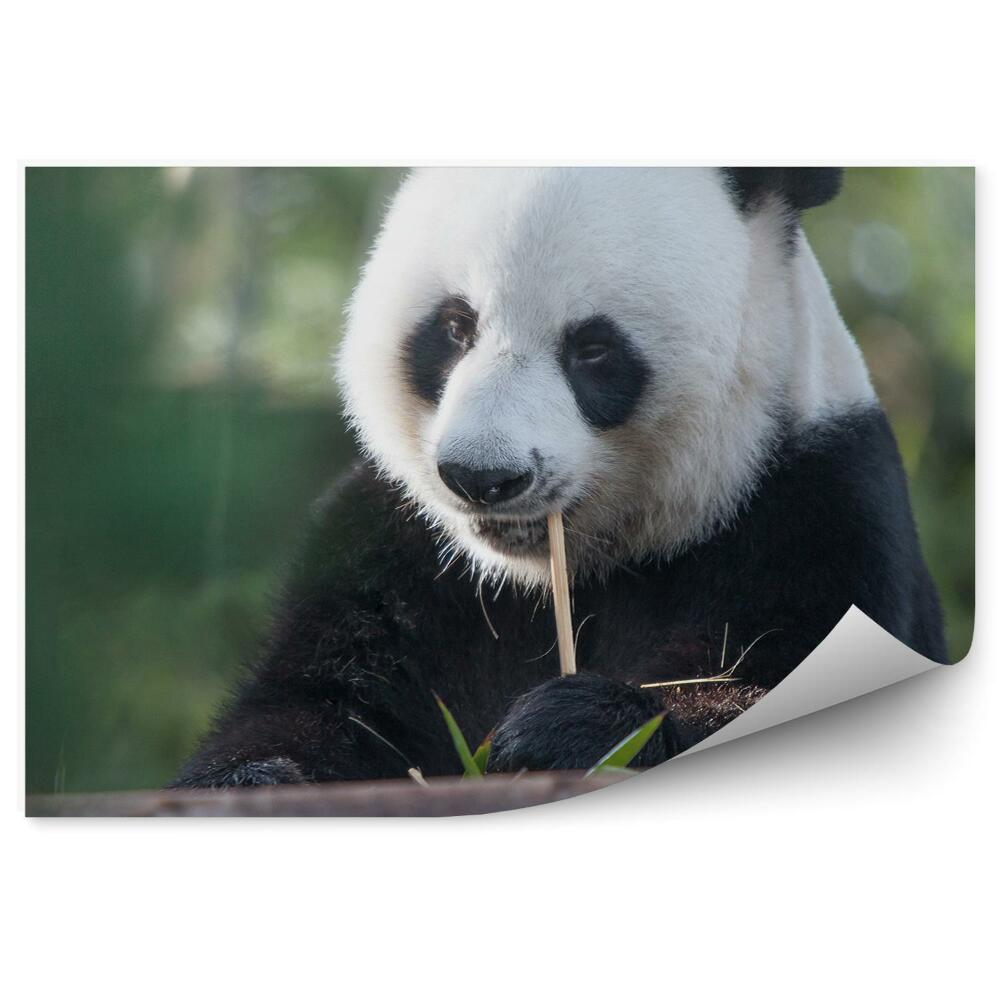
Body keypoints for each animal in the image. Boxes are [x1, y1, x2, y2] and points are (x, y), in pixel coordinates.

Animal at [174, 167, 946, 788]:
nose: (482, 477)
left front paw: (566, 728)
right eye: (455, 327)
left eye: (593, 348)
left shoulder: (817, 514)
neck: (557, 579)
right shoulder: (392, 555)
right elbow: (313, 704)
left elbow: (755, 681)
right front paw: (250, 779)